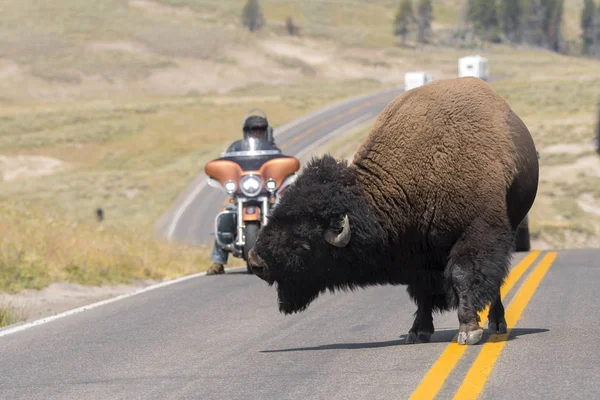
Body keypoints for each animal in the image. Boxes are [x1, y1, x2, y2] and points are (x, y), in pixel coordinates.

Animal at [248, 76, 540, 346]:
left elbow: (462, 276)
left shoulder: (476, 233)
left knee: (497, 280)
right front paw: (418, 332)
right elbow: (422, 290)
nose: (256, 261)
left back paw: (497, 323)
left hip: (509, 227)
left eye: (303, 243)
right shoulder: (418, 253)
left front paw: (468, 331)